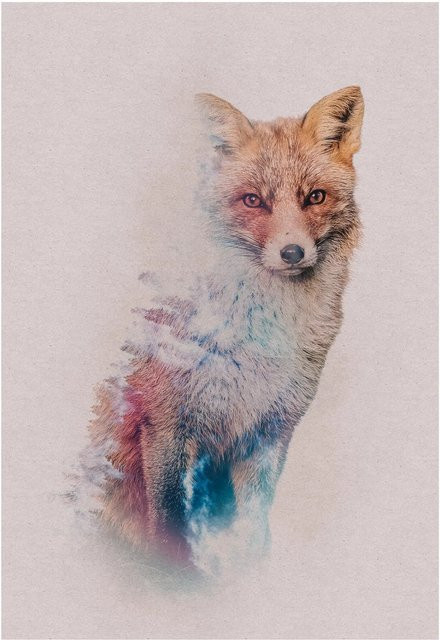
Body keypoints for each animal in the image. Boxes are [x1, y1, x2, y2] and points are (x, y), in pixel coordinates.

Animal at [75, 86, 364, 575]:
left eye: (315, 197)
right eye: (253, 201)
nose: (292, 252)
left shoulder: (269, 431)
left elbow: (254, 528)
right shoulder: (165, 424)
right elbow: (170, 525)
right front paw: (176, 579)